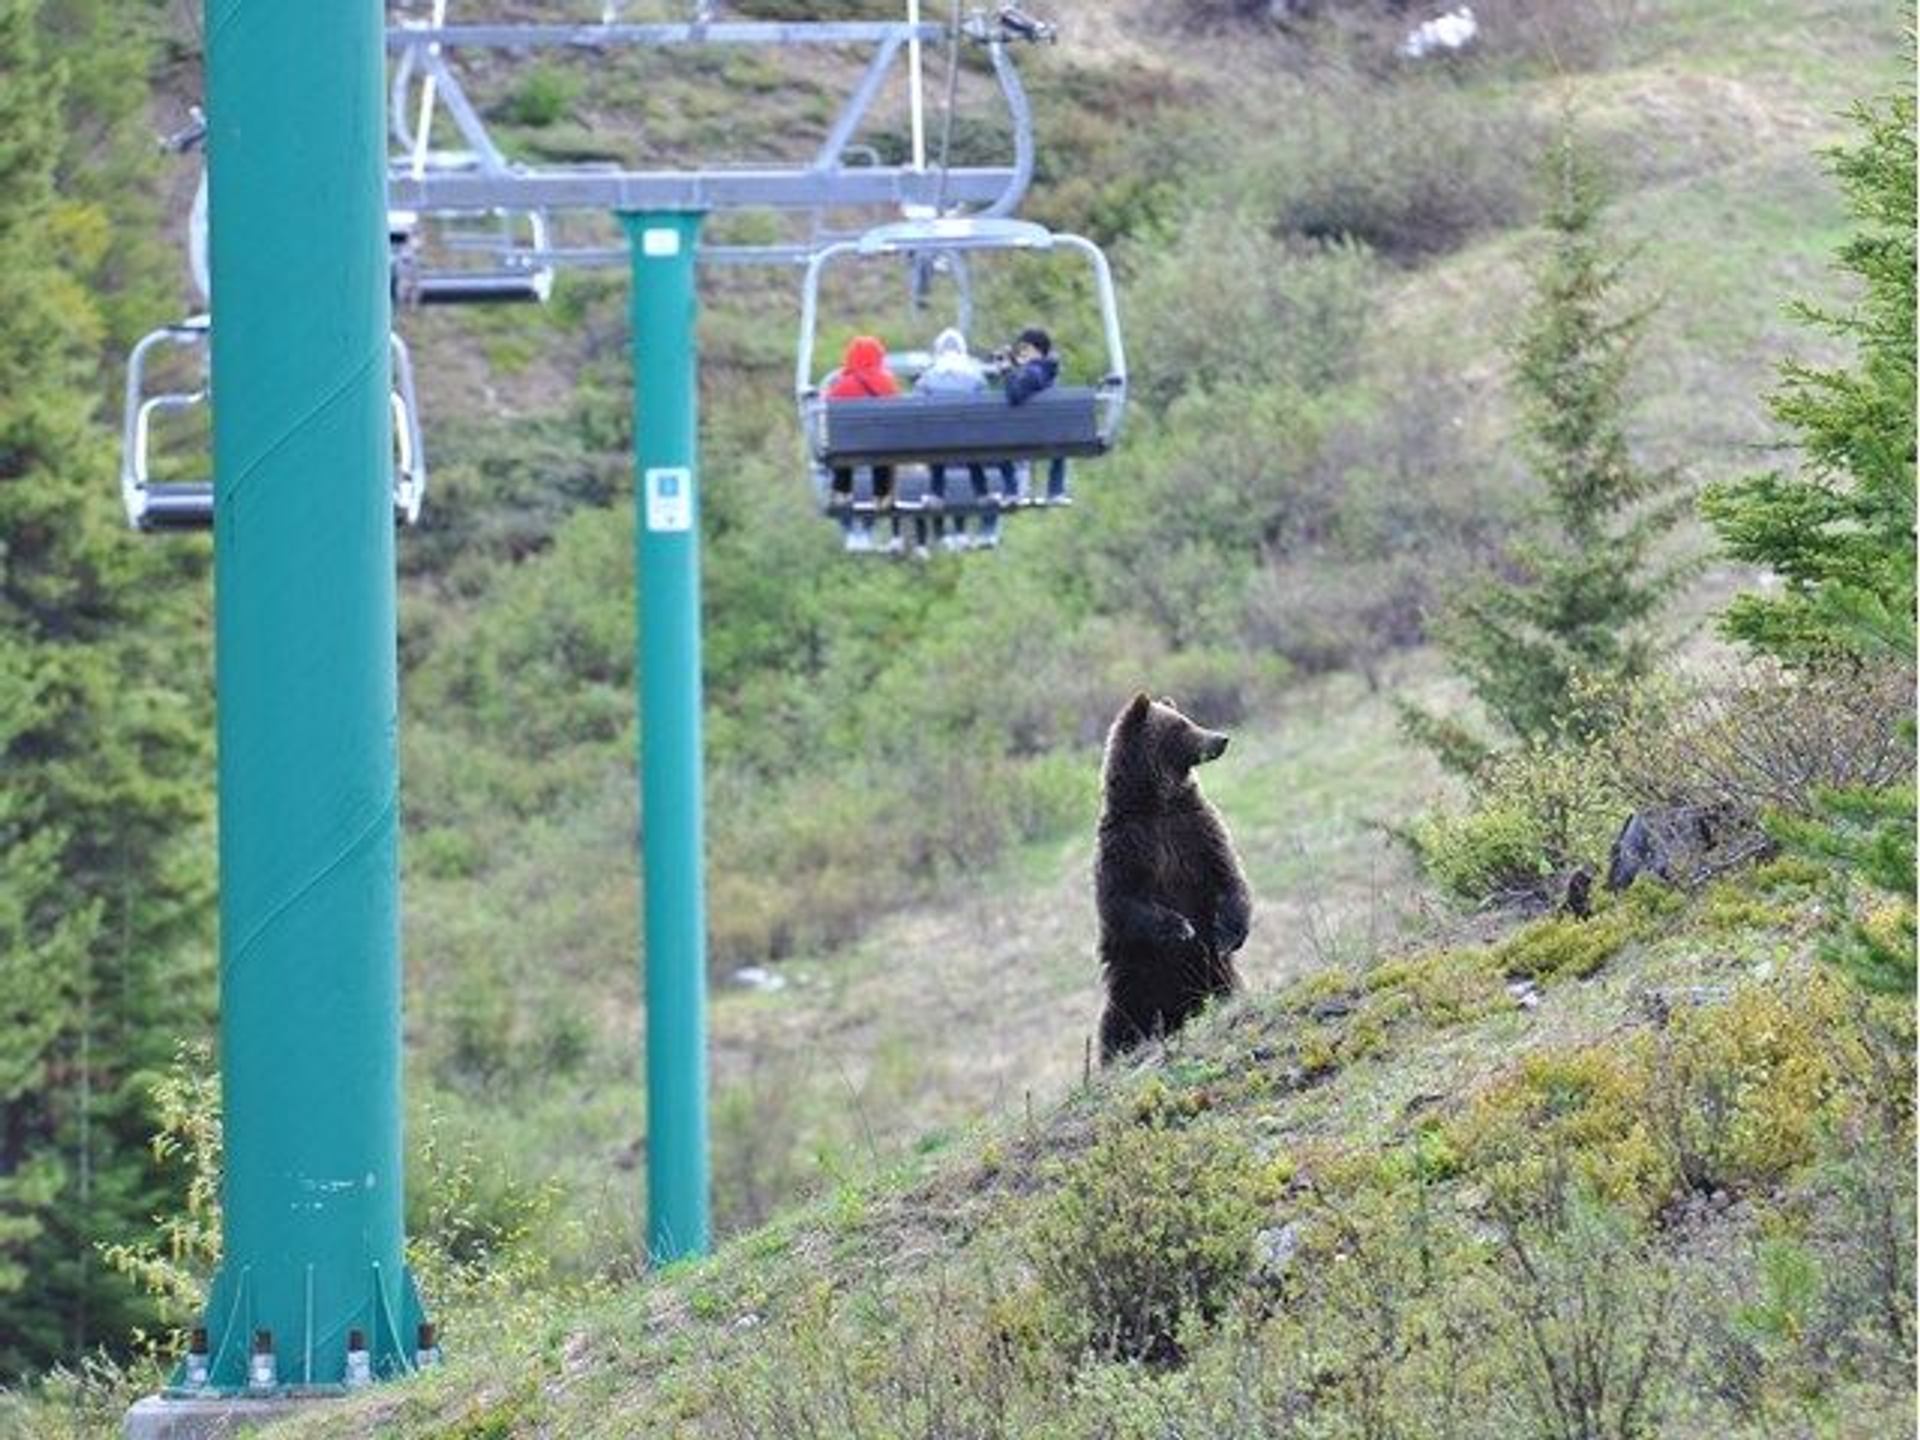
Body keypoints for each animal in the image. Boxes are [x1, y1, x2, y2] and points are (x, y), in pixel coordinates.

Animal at [1095, 692, 1253, 1062]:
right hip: (1132, 984)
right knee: (1116, 1026)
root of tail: (1178, 1013)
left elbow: (1227, 872)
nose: (1221, 738)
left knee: (1228, 988)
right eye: (1182, 726)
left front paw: (1229, 933)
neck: (1157, 804)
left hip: (1215, 974)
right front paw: (1180, 928)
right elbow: (1120, 900)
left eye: (1188, 719)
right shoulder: (1126, 846)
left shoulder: (1194, 828)